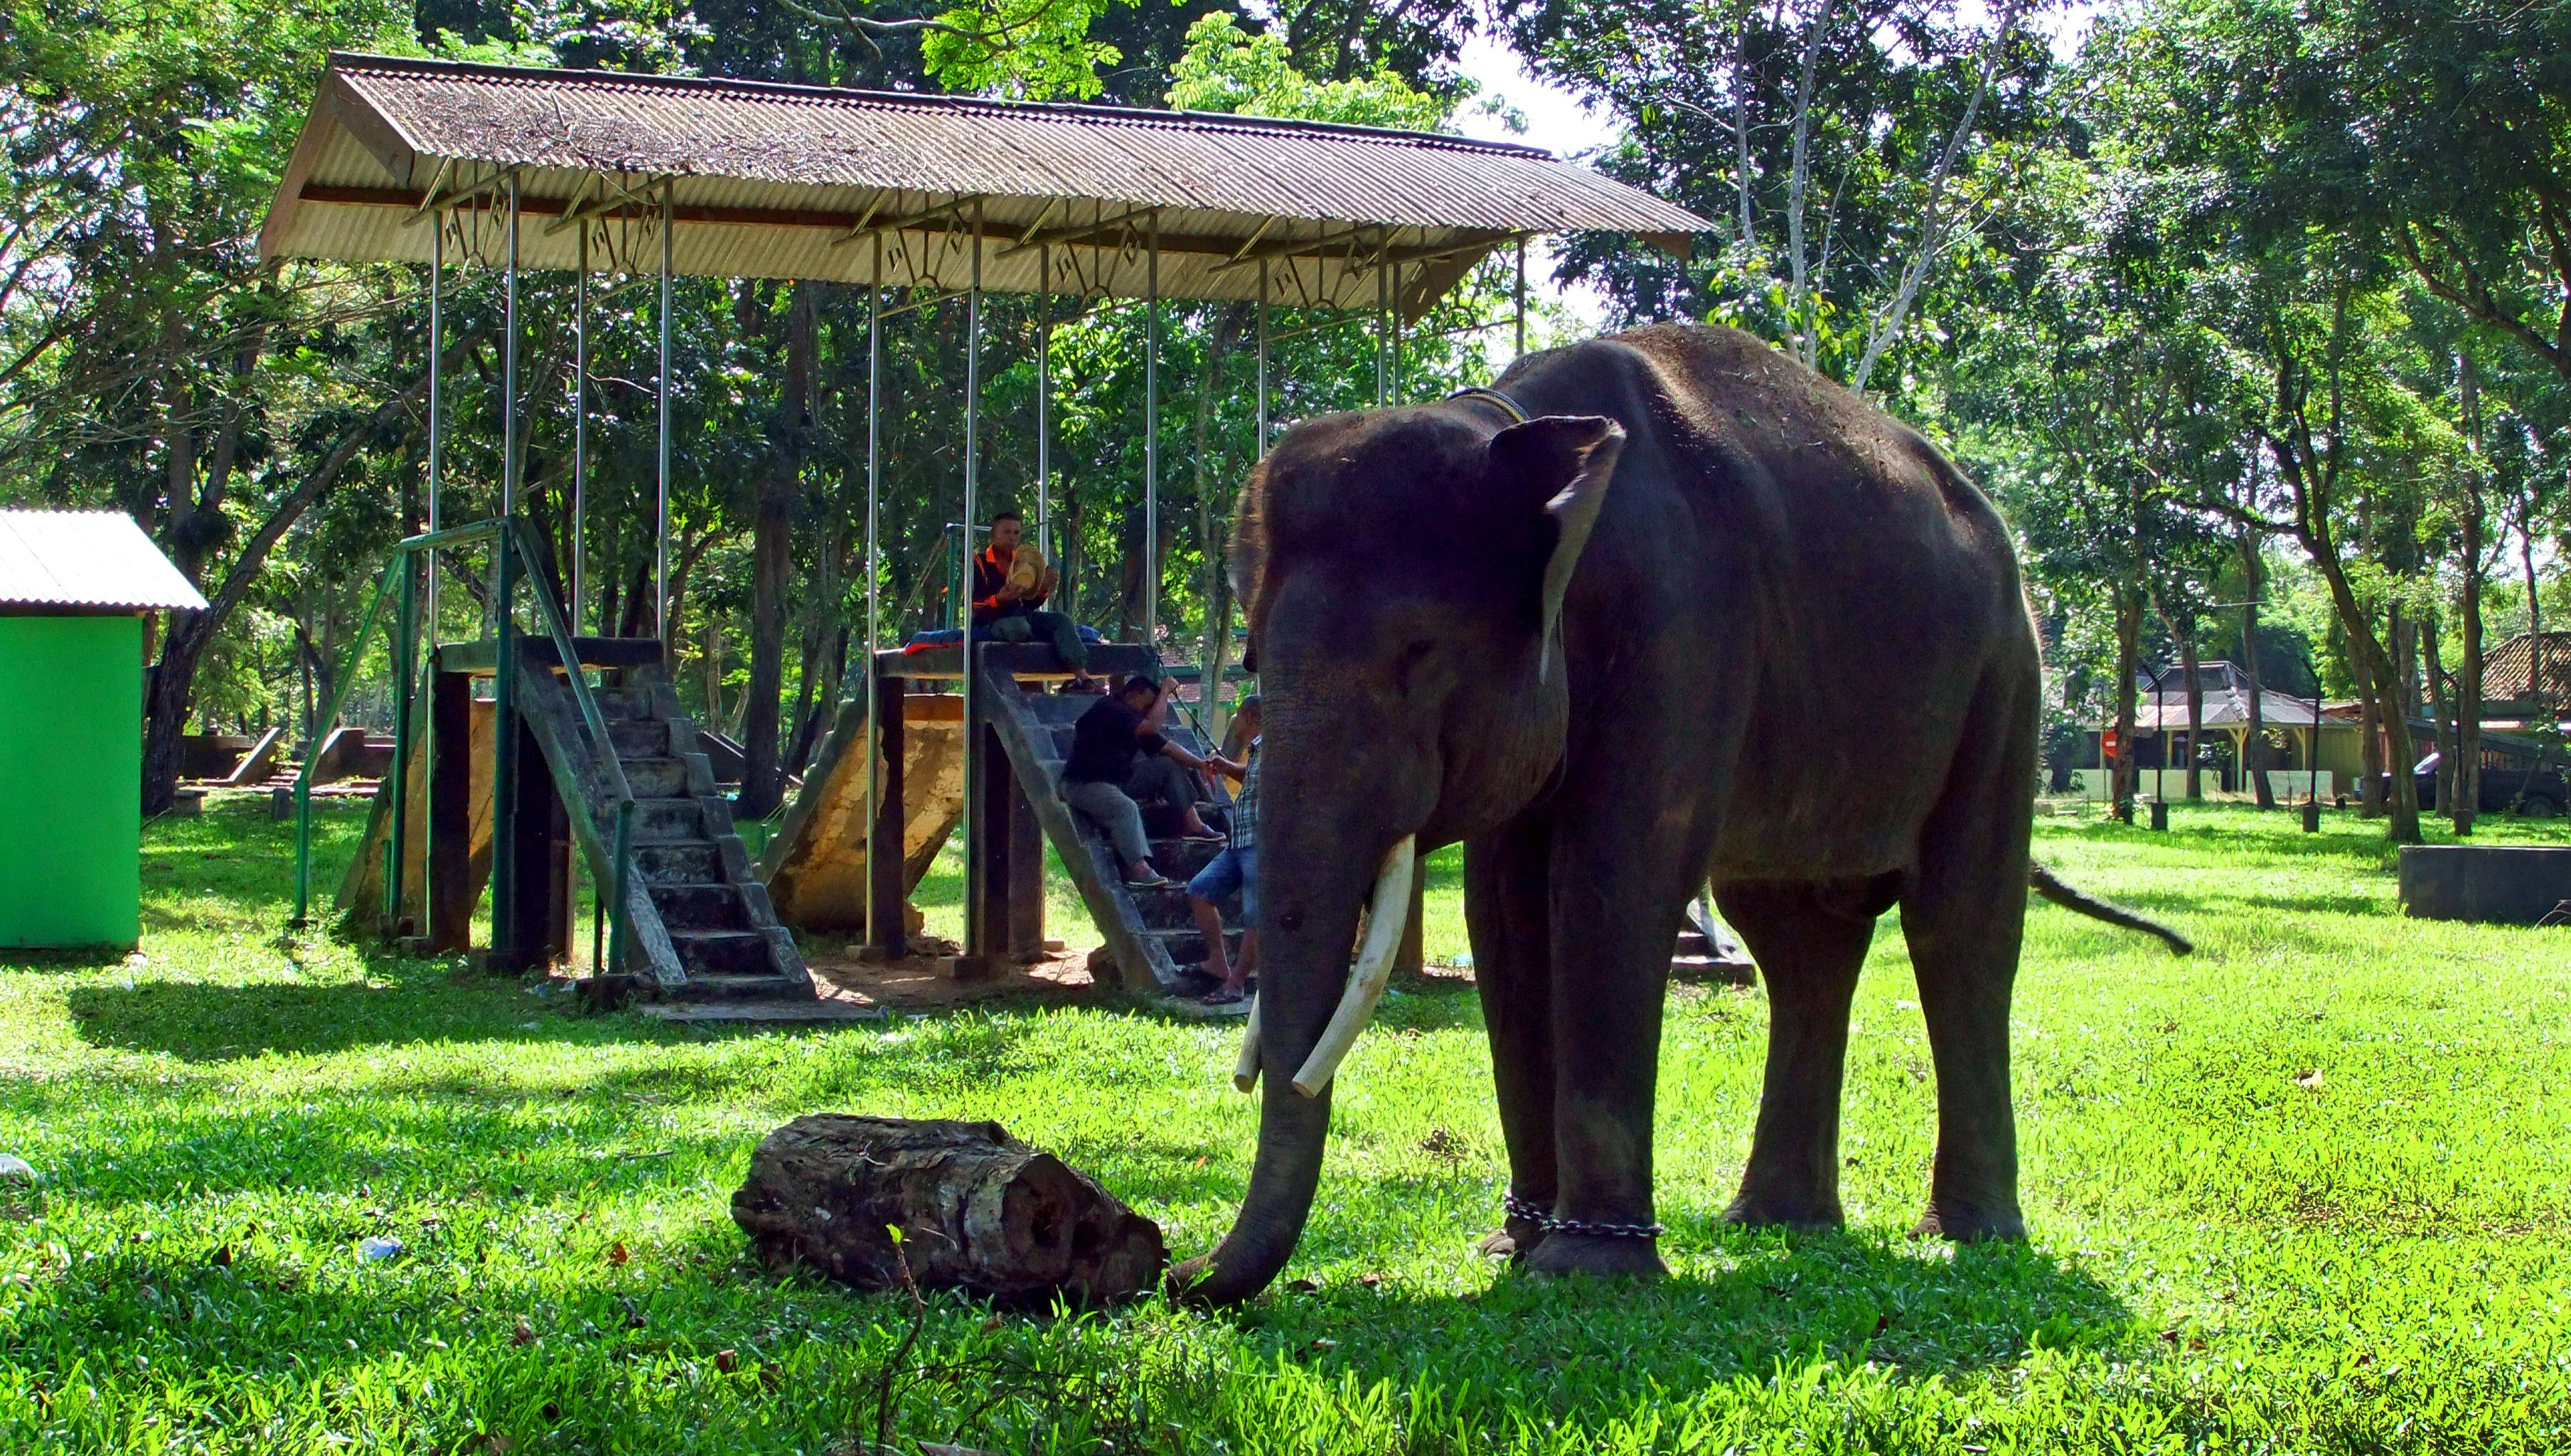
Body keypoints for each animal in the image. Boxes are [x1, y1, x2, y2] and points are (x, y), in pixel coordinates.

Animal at [1177, 325, 2180, 1307]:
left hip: (2002, 683)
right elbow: (1503, 912)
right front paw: (1517, 1246)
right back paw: (1777, 1222)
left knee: (1958, 927)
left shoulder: (1684, 623)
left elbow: (1613, 881)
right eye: (1254, 656)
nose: (1171, 1269)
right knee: (1798, 941)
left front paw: (1585, 1269)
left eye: (1418, 652)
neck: (1515, 432)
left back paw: (1967, 1234)